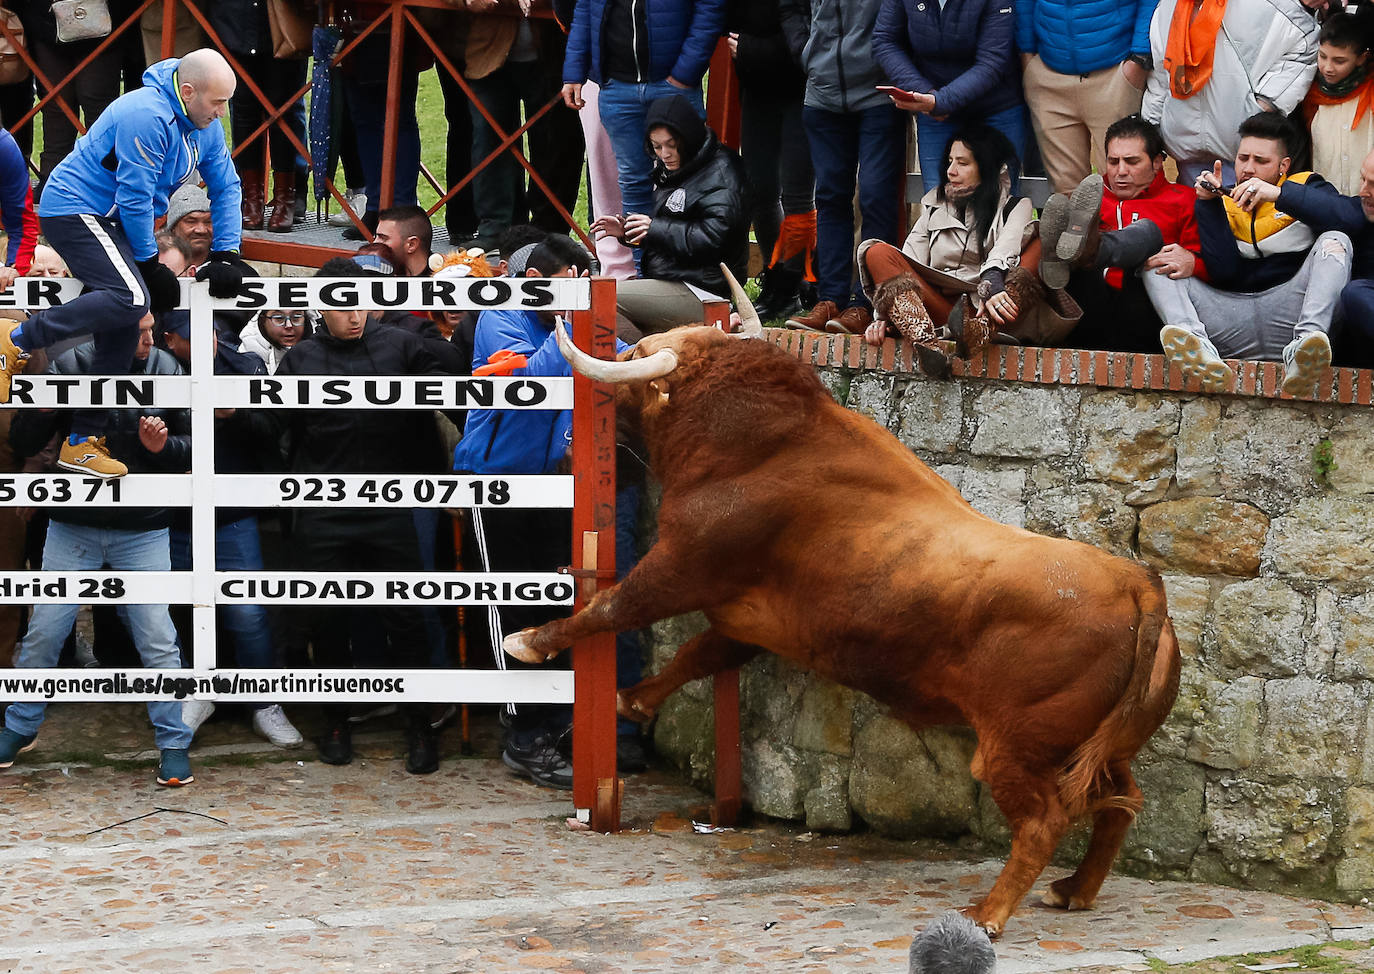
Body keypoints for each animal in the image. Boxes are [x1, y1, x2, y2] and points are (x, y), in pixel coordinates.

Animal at [505, 309, 1181, 934]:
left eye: (635, 358)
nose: (572, 435)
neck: (759, 445)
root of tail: (1140, 585)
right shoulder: (750, 620)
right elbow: (700, 654)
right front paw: (634, 700)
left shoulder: (681, 566)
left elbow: (611, 606)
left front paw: (529, 642)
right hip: (1102, 747)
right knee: (1123, 802)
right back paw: (1075, 890)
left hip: (1014, 746)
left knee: (1044, 821)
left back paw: (988, 913)